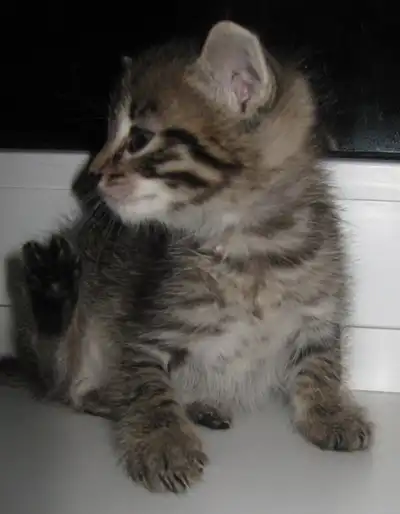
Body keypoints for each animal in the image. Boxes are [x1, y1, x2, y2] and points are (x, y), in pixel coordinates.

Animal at [0, 20, 372, 493]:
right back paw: (56, 295)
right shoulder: (147, 331)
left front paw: (331, 411)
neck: (252, 251)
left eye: (139, 139)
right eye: (108, 135)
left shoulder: (319, 312)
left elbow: (323, 361)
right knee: (58, 375)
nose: (92, 176)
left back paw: (197, 406)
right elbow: (147, 388)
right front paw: (163, 444)